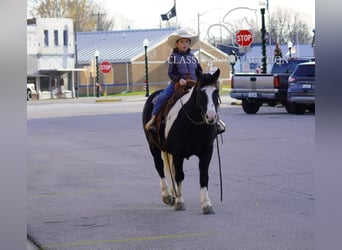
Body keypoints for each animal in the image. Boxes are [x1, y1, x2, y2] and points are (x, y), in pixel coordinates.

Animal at [142, 68, 220, 215]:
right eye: (200, 91)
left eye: (216, 91)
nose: (211, 116)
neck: (194, 125)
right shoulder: (178, 153)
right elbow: (179, 176)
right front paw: (179, 202)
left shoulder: (207, 152)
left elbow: (203, 176)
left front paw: (206, 204)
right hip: (153, 147)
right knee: (160, 167)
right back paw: (167, 195)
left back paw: (172, 194)